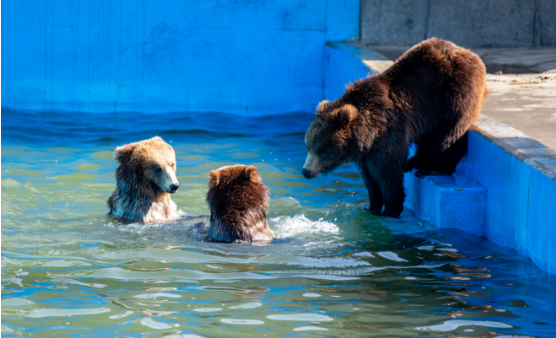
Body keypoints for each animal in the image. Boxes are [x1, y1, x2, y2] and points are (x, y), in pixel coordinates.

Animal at [300, 39, 486, 219]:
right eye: (308, 146)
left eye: (321, 149)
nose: (305, 171)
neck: (366, 133)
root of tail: (470, 54)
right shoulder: (366, 150)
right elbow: (370, 176)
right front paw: (372, 205)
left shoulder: (387, 132)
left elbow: (388, 170)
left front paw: (391, 208)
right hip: (430, 113)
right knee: (426, 137)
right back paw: (415, 161)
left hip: (454, 94)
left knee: (450, 132)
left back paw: (434, 167)